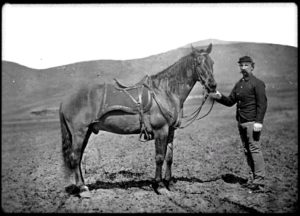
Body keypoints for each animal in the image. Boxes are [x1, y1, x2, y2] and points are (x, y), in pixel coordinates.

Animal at [58, 43, 217, 194]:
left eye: (212, 62)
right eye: (198, 63)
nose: (213, 85)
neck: (164, 93)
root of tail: (66, 99)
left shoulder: (171, 130)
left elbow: (169, 157)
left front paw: (169, 182)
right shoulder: (161, 130)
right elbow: (159, 157)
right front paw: (159, 185)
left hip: (87, 132)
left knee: (78, 158)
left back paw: (83, 185)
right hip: (79, 133)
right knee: (75, 157)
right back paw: (82, 189)